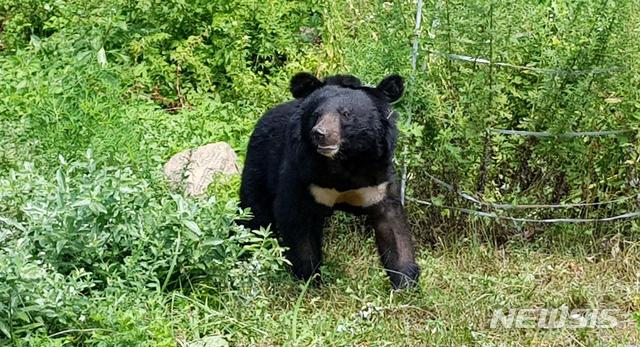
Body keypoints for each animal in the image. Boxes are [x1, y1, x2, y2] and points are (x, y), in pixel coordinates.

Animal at [240, 72, 420, 290]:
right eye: (316, 115)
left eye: (346, 114)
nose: (320, 134)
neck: (344, 161)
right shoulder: (302, 174)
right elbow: (297, 222)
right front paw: (310, 280)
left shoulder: (378, 179)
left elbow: (393, 227)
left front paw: (405, 282)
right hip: (259, 166)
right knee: (254, 214)